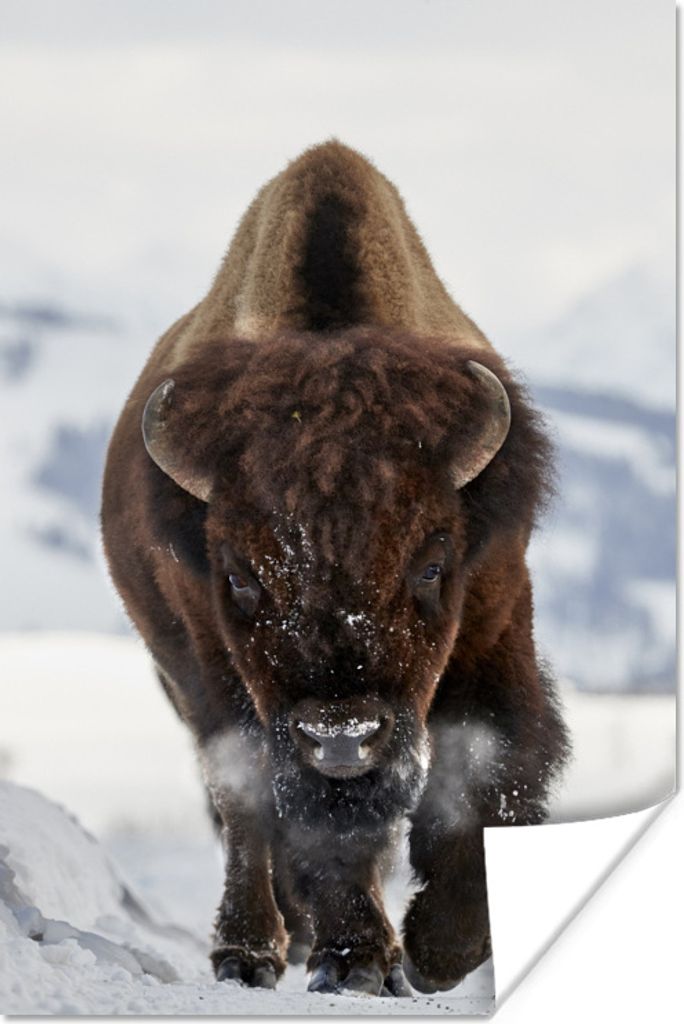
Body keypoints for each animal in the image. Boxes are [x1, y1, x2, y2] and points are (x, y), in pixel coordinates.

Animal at [101, 140, 569, 997]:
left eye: (433, 563)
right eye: (240, 576)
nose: (342, 737)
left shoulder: (493, 622)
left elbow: (487, 768)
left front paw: (442, 951)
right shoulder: (224, 671)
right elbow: (299, 818)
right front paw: (356, 960)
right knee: (245, 809)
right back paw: (252, 951)